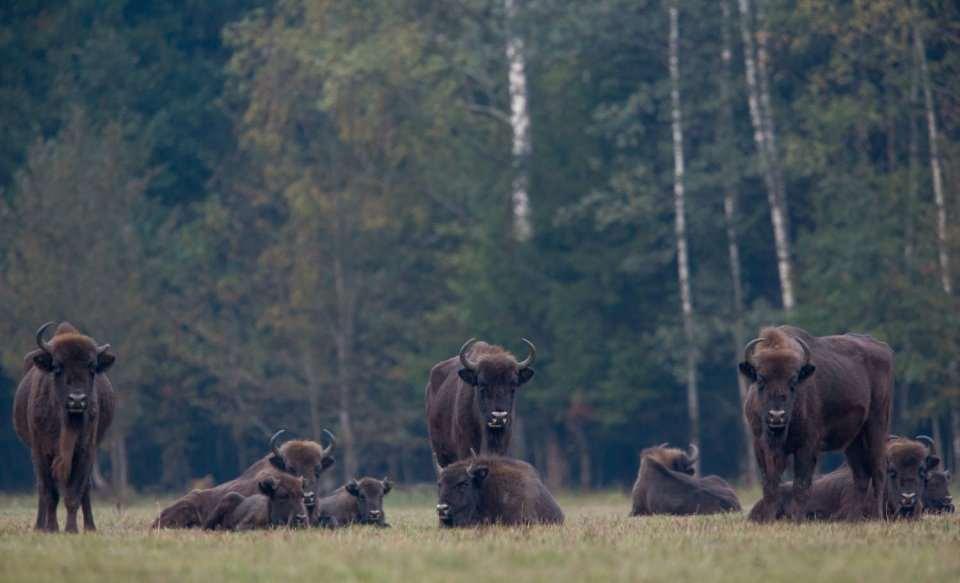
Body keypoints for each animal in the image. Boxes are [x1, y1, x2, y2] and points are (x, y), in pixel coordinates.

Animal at [12, 324, 116, 532]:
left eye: (92, 368)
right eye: (57, 367)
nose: (77, 400)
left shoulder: (85, 452)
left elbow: (74, 493)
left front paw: (71, 529)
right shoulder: (41, 452)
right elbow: (50, 494)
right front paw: (51, 528)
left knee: (86, 488)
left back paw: (90, 527)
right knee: (42, 490)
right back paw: (39, 526)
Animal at [740, 326, 896, 524]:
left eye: (793, 381)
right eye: (760, 379)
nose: (777, 416)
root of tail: (883, 348)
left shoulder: (807, 446)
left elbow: (801, 485)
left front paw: (797, 521)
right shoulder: (760, 446)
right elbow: (770, 485)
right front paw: (768, 521)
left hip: (876, 425)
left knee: (878, 469)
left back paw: (877, 518)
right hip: (853, 439)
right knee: (860, 475)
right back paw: (853, 519)